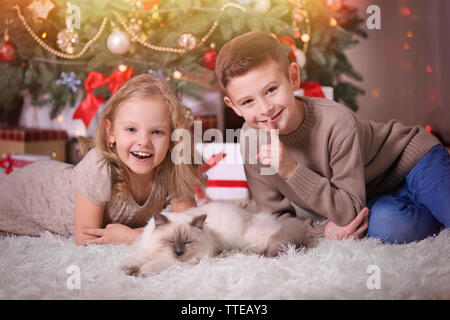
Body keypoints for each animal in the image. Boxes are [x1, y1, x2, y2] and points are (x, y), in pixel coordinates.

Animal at [121, 201, 322, 276]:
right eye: (170, 242)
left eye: (186, 243)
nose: (178, 252)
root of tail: (255, 216)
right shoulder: (146, 251)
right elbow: (135, 259)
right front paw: (128, 270)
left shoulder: (174, 262)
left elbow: (151, 265)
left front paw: (139, 272)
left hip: (249, 241)